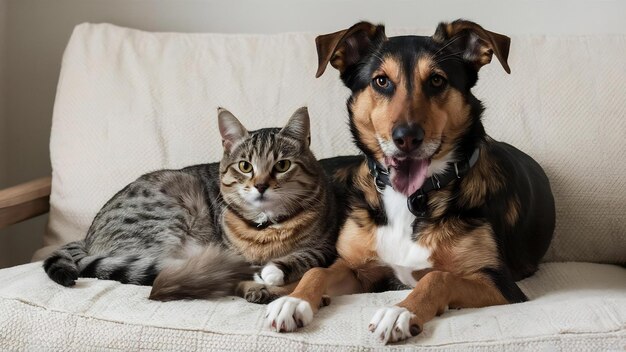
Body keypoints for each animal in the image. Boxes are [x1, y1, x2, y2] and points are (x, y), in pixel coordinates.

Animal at [42, 106, 342, 302]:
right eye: (245, 166)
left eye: (282, 165)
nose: (260, 185)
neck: (267, 226)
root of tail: (87, 240)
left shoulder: (325, 247)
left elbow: (304, 256)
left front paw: (273, 274)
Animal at [264, 20, 556, 344]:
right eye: (381, 81)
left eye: (437, 81)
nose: (406, 138)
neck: (411, 198)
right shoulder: (360, 271)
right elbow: (317, 272)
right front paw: (294, 301)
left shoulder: (500, 283)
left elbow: (437, 277)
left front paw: (400, 311)